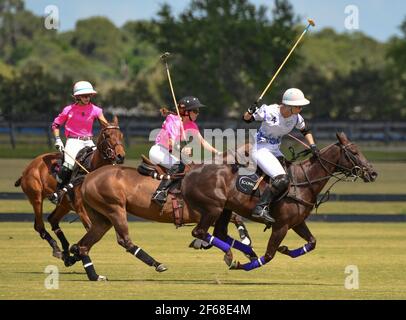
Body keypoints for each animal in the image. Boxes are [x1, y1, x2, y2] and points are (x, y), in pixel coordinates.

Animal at [14, 116, 125, 266]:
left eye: (121, 135)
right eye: (107, 135)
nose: (120, 156)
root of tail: (27, 168)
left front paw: (75, 254)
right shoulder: (80, 208)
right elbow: (90, 230)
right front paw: (77, 253)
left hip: (64, 205)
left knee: (52, 220)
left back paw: (66, 252)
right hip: (36, 197)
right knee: (39, 225)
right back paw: (57, 249)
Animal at [70, 131, 378, 280]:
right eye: (353, 151)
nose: (373, 173)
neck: (301, 181)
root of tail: (89, 176)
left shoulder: (295, 222)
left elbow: (311, 243)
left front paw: (283, 250)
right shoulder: (280, 224)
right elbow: (267, 254)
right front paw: (246, 260)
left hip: (103, 217)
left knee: (85, 244)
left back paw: (92, 272)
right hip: (117, 210)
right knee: (128, 239)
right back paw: (160, 263)